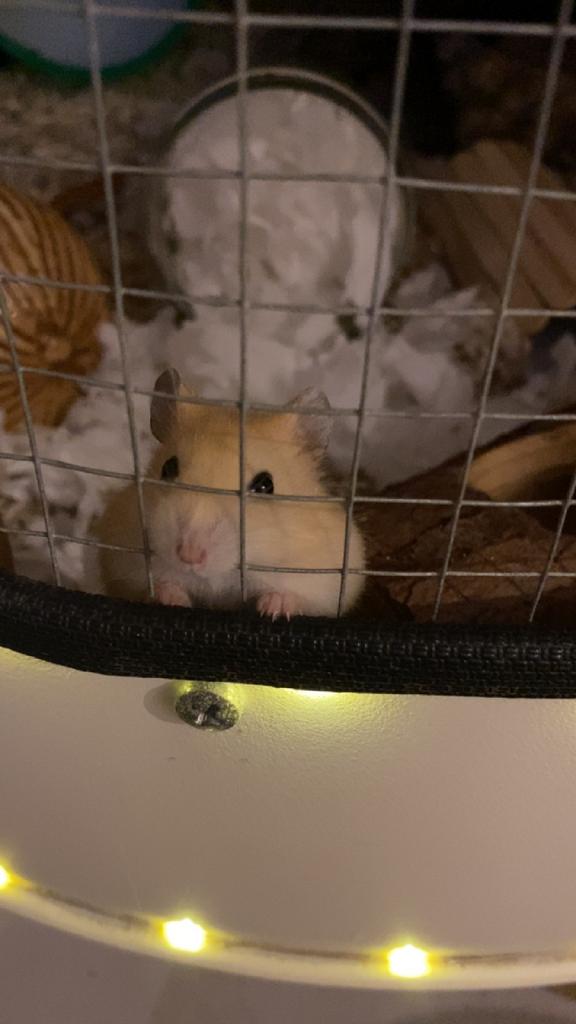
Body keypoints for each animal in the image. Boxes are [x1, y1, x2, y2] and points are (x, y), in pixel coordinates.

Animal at [95, 368, 366, 619]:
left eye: (266, 485)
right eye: (168, 468)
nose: (189, 555)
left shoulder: (324, 582)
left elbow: (296, 596)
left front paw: (273, 610)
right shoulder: (121, 566)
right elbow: (154, 586)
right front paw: (170, 598)